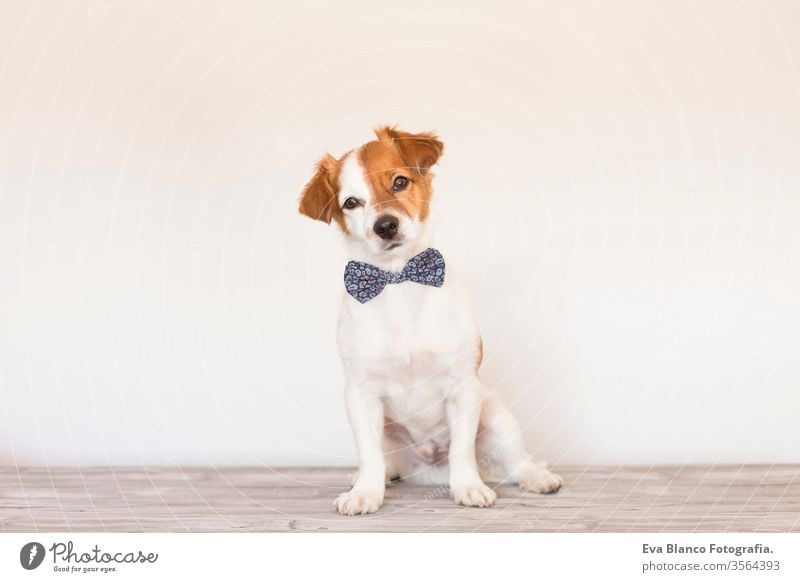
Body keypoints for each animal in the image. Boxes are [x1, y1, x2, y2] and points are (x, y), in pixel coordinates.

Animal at [296, 126, 564, 516]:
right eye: (351, 203)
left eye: (399, 182)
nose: (385, 226)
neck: (397, 281)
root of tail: (429, 468)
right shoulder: (360, 394)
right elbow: (369, 455)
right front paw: (365, 492)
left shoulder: (464, 388)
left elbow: (462, 452)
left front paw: (467, 486)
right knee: (383, 461)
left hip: (495, 414)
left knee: (517, 462)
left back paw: (535, 478)